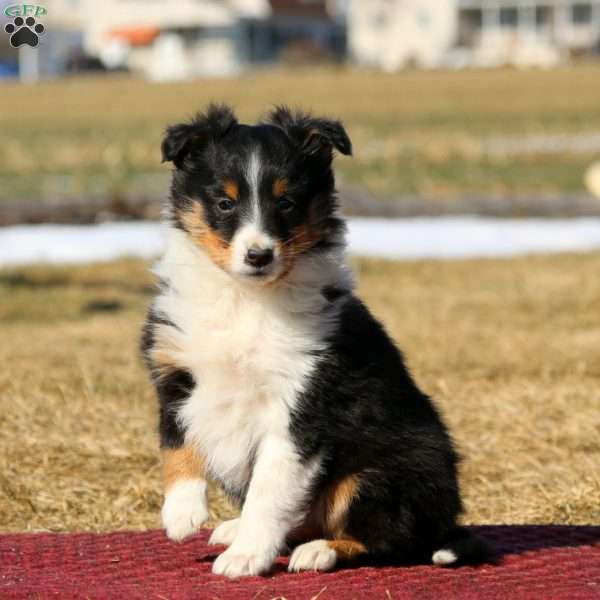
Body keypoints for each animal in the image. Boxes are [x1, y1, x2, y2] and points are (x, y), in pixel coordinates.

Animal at [143, 105, 490, 580]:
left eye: (286, 203)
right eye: (224, 203)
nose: (259, 256)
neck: (246, 298)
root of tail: (445, 523)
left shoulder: (300, 407)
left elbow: (268, 492)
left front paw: (247, 556)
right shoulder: (175, 370)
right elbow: (174, 440)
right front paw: (182, 512)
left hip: (376, 474)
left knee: (391, 540)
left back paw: (319, 551)